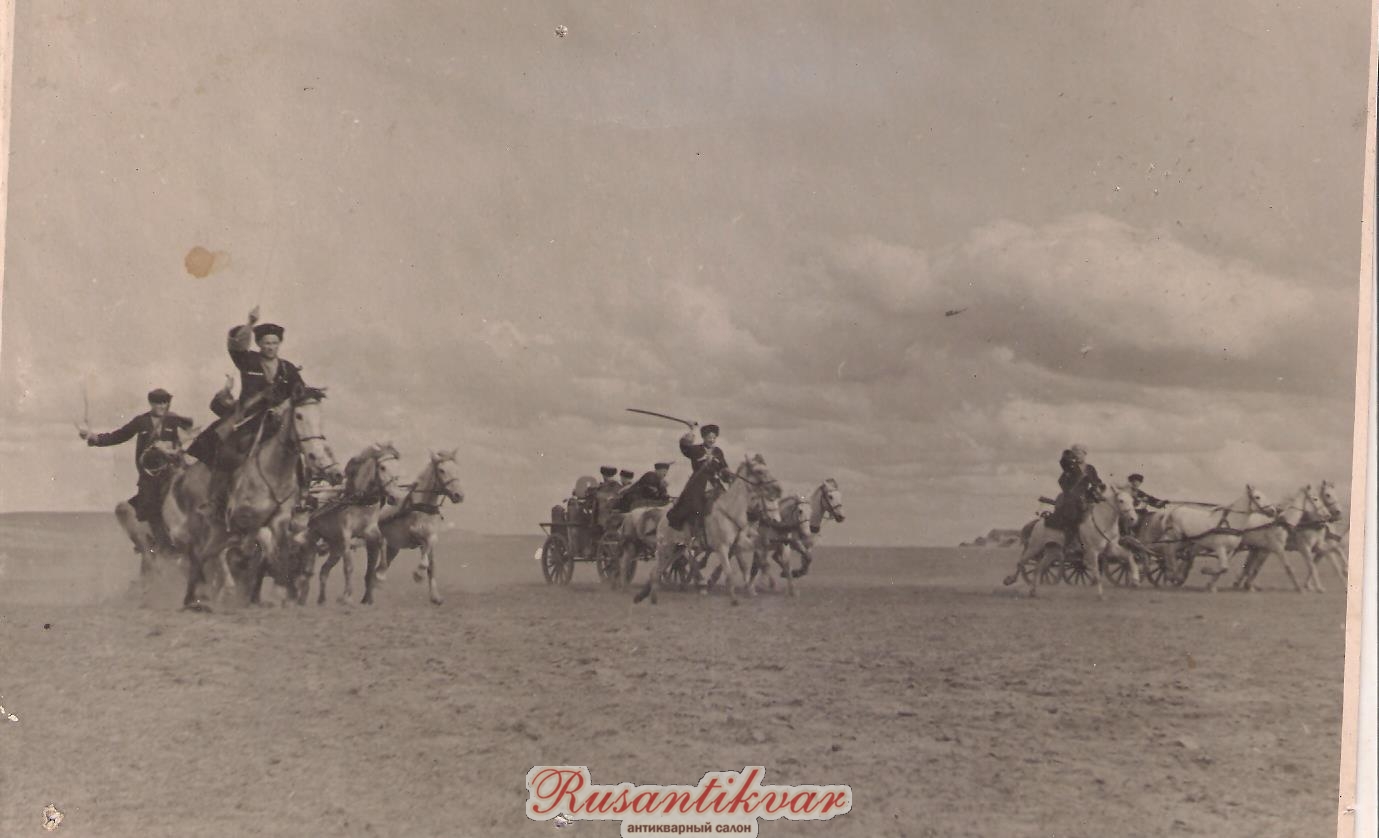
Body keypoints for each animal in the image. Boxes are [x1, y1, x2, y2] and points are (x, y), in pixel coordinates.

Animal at [179, 385, 340, 611]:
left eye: (320, 416)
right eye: (299, 415)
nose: (314, 454)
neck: (273, 473)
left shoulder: (278, 521)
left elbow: (279, 553)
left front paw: (283, 592)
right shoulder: (243, 520)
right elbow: (248, 552)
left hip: (219, 531)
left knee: (208, 555)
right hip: (207, 526)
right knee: (200, 556)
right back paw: (196, 596)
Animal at [299, 443, 408, 605]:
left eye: (397, 468)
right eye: (382, 467)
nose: (395, 497)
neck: (359, 500)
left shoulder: (369, 530)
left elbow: (382, 541)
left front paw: (381, 573)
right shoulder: (346, 535)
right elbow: (348, 567)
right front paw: (346, 596)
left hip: (336, 547)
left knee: (324, 570)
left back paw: (321, 600)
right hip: (315, 537)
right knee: (306, 568)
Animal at [373, 450, 465, 605]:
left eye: (457, 469)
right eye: (441, 470)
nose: (459, 495)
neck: (422, 507)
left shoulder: (430, 538)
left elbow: (431, 562)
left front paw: (435, 596)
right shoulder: (414, 535)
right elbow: (425, 561)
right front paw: (418, 575)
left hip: (394, 547)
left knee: (382, 563)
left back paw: (377, 580)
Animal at [633, 453, 783, 607]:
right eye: (759, 471)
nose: (778, 489)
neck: (729, 512)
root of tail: (662, 518)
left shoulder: (739, 544)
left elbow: (753, 554)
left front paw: (760, 582)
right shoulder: (722, 548)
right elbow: (729, 573)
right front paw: (734, 599)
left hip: (677, 549)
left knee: (661, 569)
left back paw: (650, 596)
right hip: (665, 547)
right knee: (659, 570)